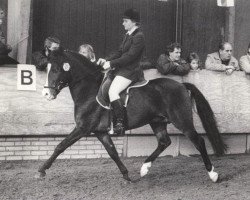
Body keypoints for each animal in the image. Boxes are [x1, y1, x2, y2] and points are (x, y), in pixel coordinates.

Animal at [38, 48, 228, 183]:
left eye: (56, 69)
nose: (46, 94)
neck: (89, 90)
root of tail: (182, 85)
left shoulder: (82, 128)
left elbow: (60, 146)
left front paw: (41, 171)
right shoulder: (100, 132)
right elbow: (113, 152)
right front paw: (126, 175)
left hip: (182, 121)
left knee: (199, 141)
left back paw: (213, 174)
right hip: (157, 121)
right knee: (164, 142)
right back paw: (144, 168)